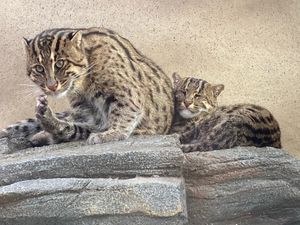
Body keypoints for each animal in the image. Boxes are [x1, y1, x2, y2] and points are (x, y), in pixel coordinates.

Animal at [0, 27, 173, 148]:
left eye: (60, 63)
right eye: (39, 68)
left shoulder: (128, 95)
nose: (52, 86)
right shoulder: (87, 112)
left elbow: (124, 114)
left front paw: (112, 133)